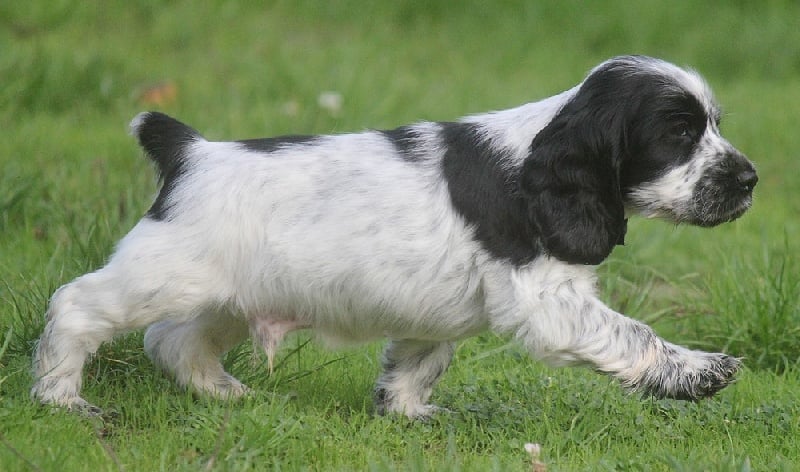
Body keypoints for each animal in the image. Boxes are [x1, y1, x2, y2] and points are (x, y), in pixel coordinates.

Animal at [32, 54, 756, 416]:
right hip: (163, 274)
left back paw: (229, 395)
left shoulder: (437, 314)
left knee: (175, 342)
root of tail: (191, 152)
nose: (750, 180)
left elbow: (418, 363)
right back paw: (61, 397)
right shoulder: (549, 300)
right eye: (679, 133)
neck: (539, 155)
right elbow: (634, 334)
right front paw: (698, 372)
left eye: (715, 125)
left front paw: (406, 415)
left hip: (230, 295)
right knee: (78, 305)